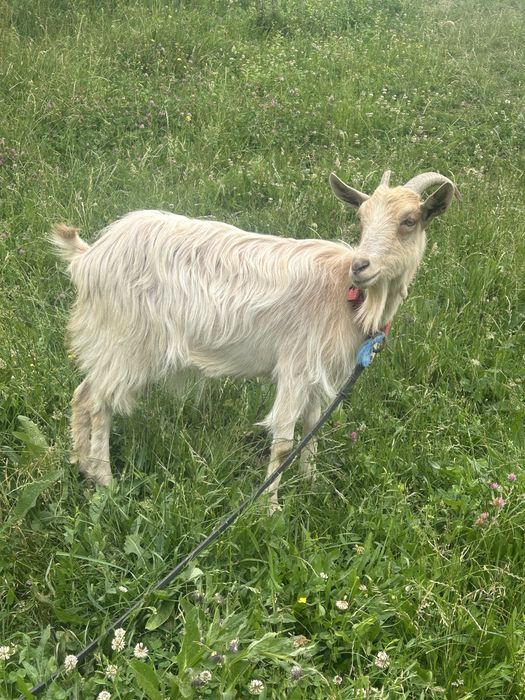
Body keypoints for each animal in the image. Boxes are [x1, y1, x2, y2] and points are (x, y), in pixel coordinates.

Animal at [53, 170, 457, 511]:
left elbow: (312, 429)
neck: (346, 296)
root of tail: (89, 257)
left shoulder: (317, 371)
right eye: (361, 218)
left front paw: (311, 483)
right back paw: (105, 480)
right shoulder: (296, 364)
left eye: (409, 221)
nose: (361, 266)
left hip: (112, 344)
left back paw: (82, 465)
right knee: (99, 403)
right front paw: (271, 508)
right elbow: (284, 442)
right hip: (127, 341)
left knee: (82, 395)